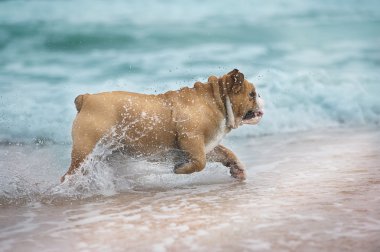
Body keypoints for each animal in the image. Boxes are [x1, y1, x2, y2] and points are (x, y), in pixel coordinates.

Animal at [61, 69, 264, 182]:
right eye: (252, 94)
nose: (261, 97)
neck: (216, 100)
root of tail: (86, 98)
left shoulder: (206, 146)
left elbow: (225, 153)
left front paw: (237, 167)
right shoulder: (192, 140)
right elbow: (200, 163)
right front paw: (179, 170)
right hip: (85, 149)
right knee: (70, 174)